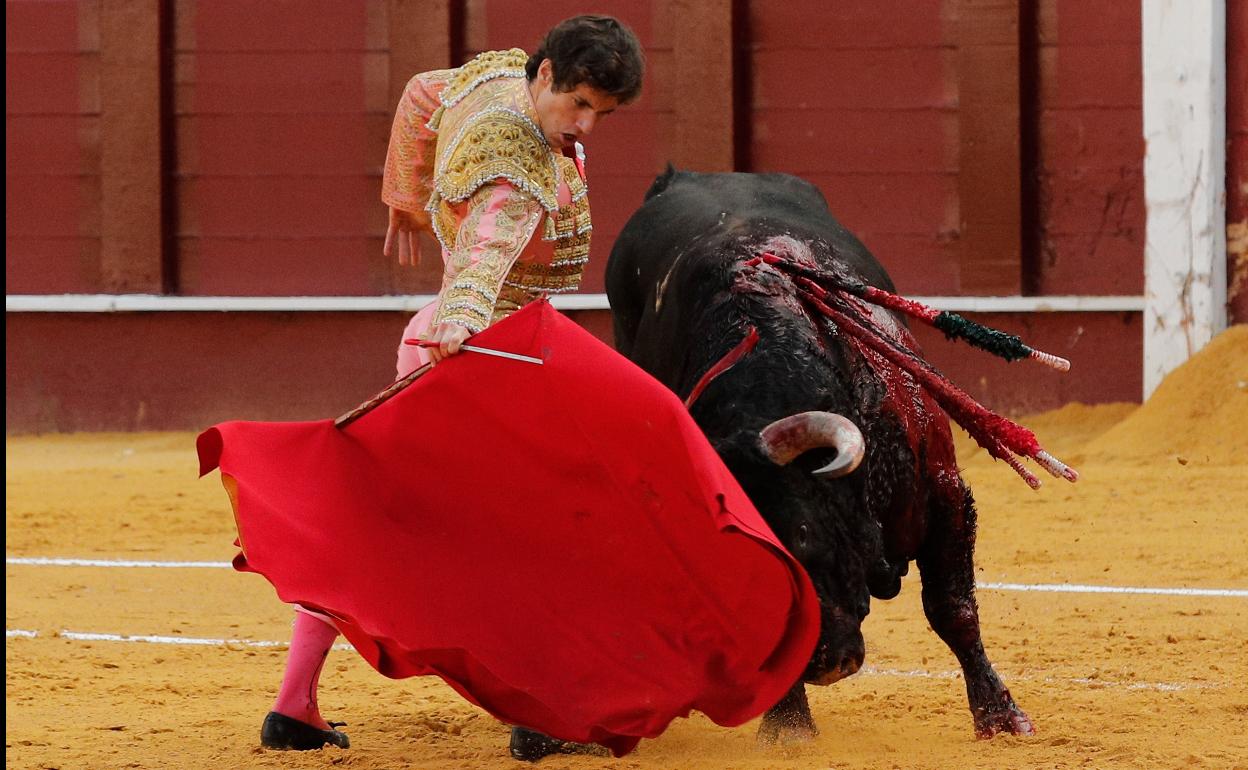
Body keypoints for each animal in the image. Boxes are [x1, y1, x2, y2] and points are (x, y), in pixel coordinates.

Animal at [604, 168, 1033, 738]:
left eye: (804, 535)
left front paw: (1000, 717)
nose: (825, 662)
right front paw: (788, 728)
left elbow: (952, 608)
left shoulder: (944, 493)